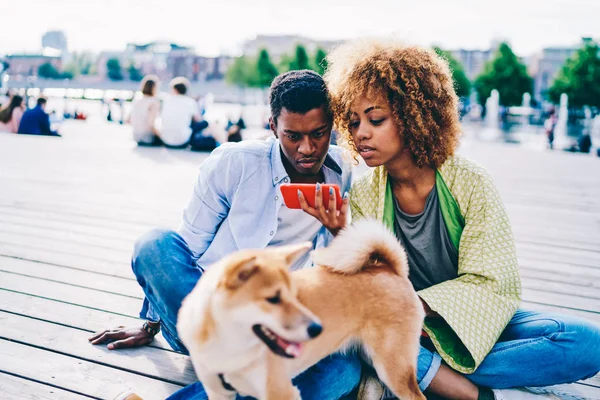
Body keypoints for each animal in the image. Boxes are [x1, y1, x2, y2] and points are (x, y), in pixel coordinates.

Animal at [178, 220, 426, 400]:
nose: (317, 328)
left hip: (393, 368)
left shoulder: (280, 393)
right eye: (274, 299)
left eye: (293, 294)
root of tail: (392, 270)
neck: (229, 349)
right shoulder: (218, 393)